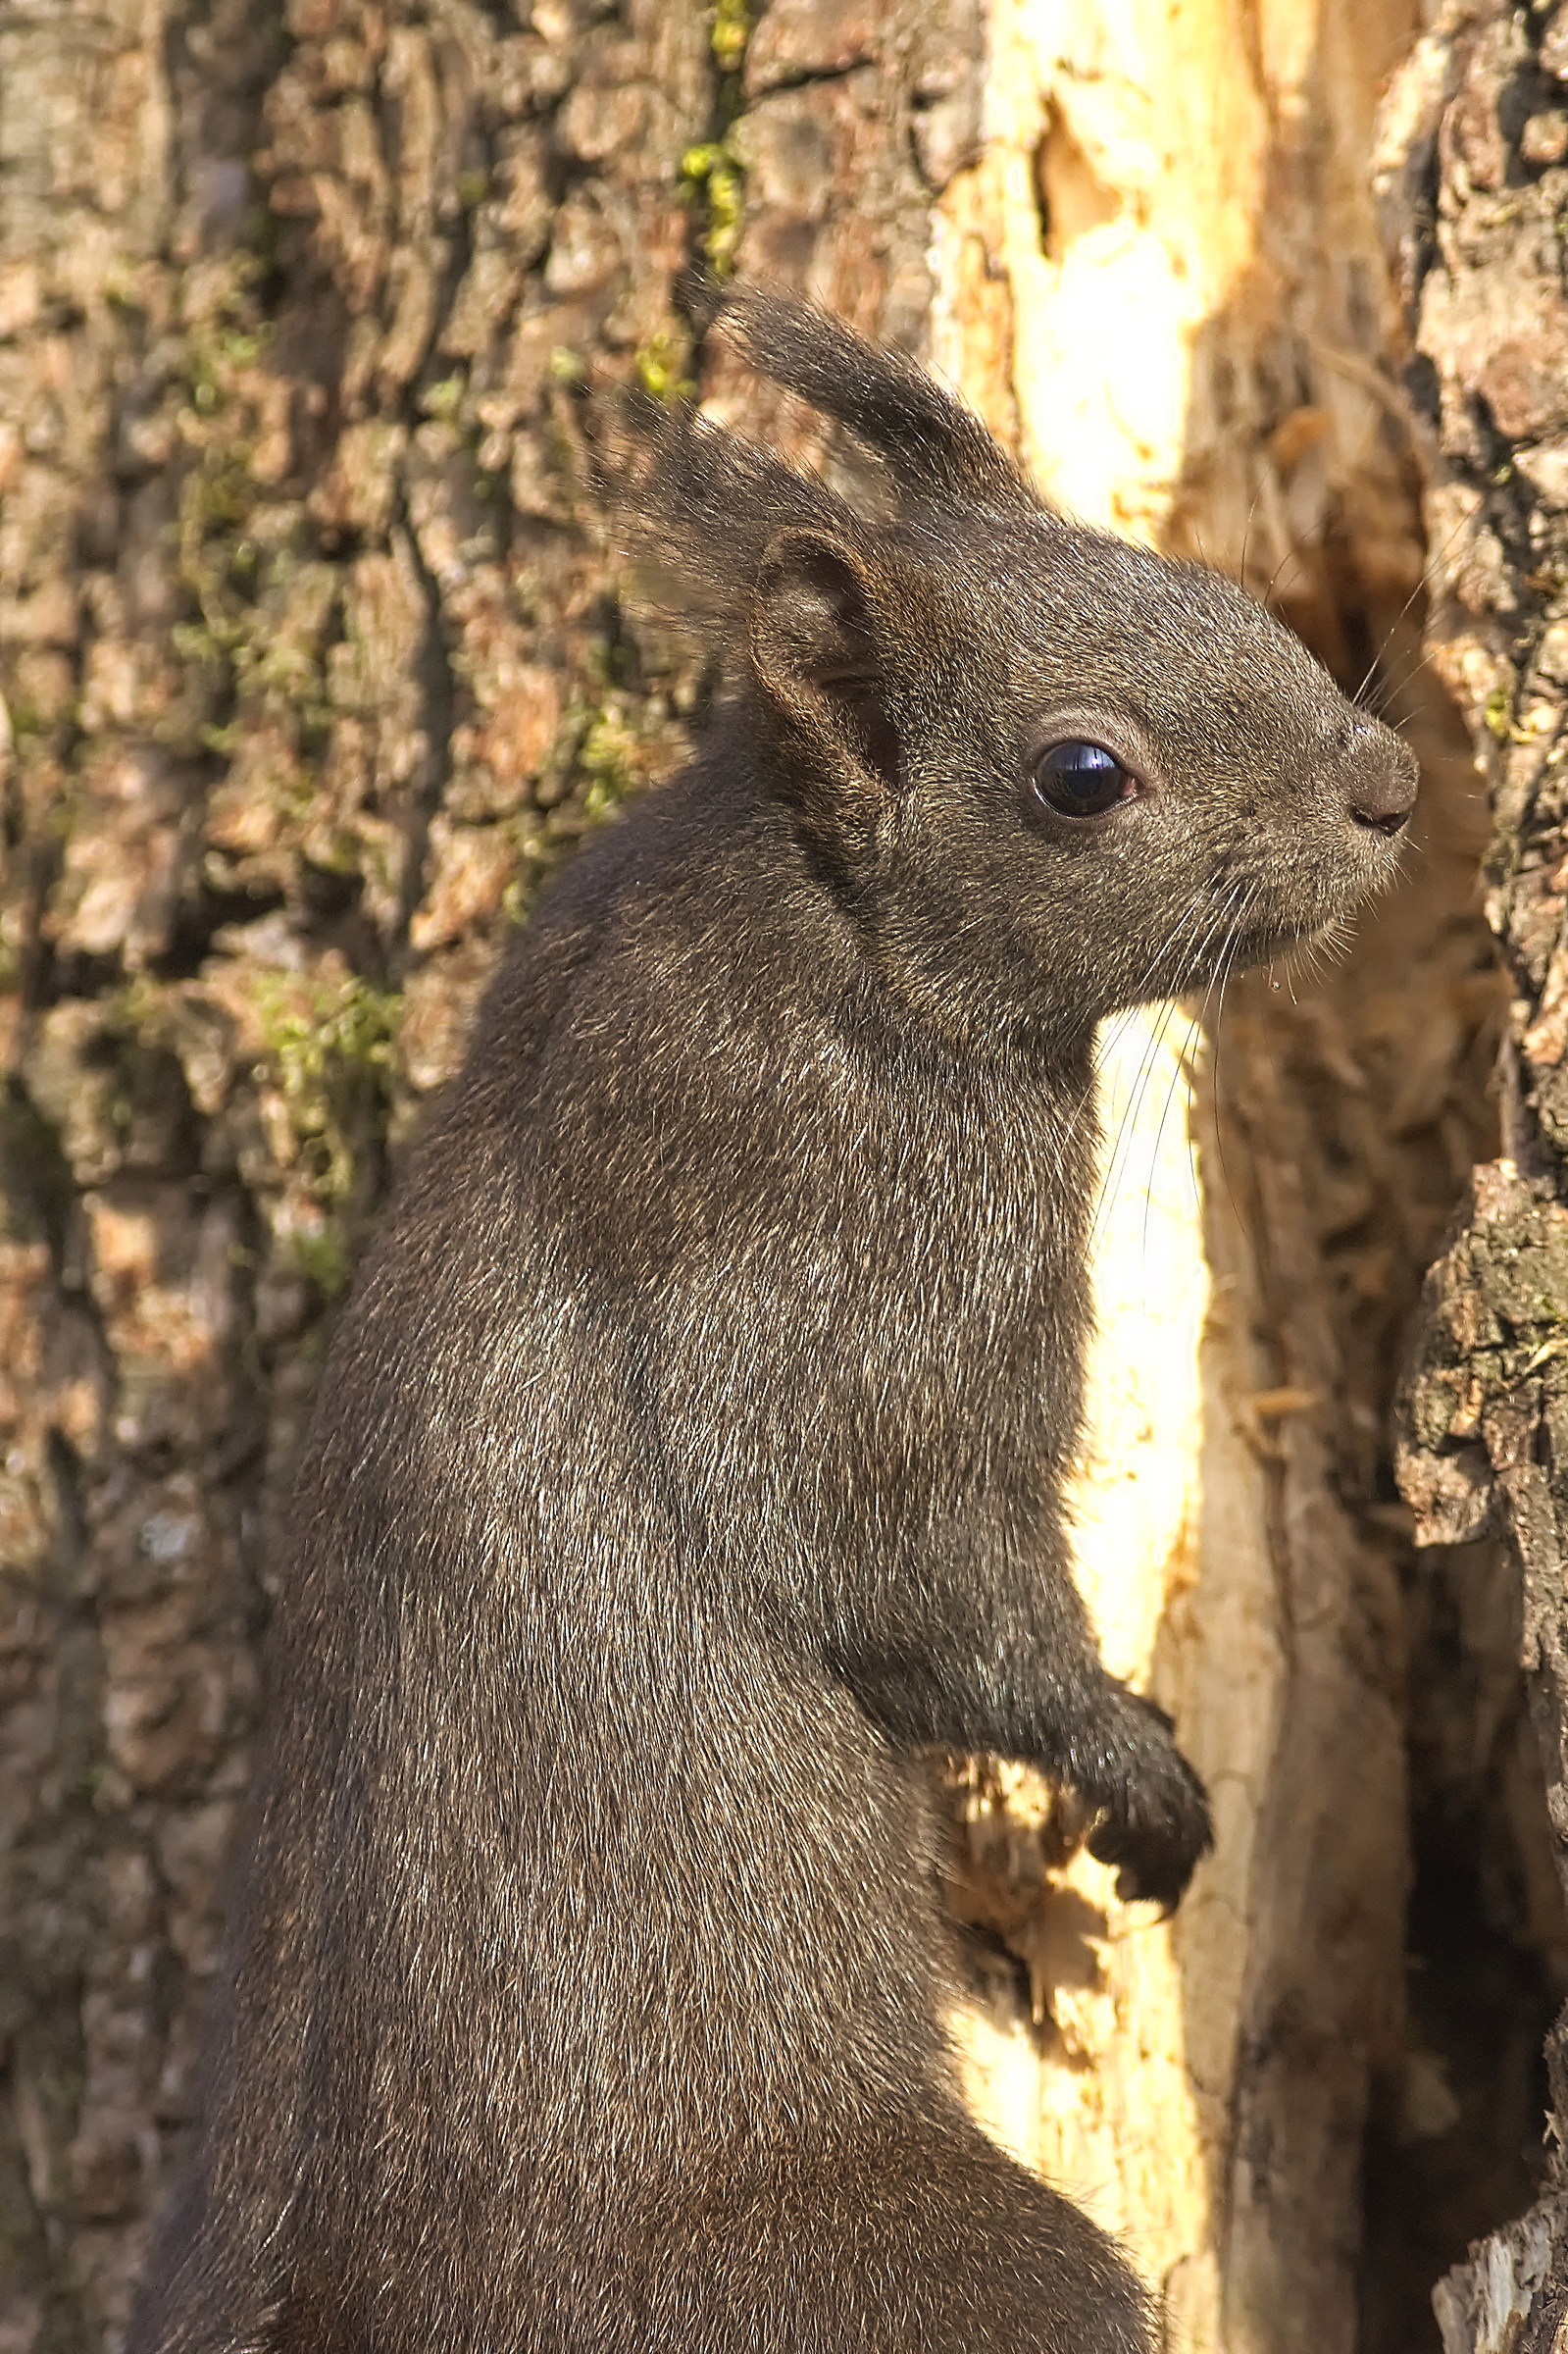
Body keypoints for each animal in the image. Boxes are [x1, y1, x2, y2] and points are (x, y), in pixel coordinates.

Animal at [128, 292, 1417, 2354]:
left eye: (1203, 583)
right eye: (1080, 776)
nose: (1386, 783)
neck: (824, 929)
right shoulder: (825, 1259)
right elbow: (885, 1565)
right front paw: (1133, 1769)